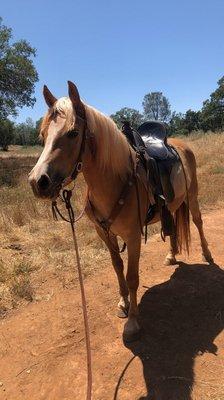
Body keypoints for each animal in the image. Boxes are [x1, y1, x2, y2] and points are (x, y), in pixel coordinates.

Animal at [29, 81, 214, 340]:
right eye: (43, 135)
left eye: (73, 133)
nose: (38, 182)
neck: (115, 180)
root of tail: (181, 144)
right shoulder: (105, 234)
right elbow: (117, 268)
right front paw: (123, 303)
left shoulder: (133, 236)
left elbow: (132, 276)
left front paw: (133, 321)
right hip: (172, 205)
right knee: (172, 226)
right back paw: (171, 255)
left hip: (193, 197)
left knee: (198, 222)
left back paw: (207, 255)